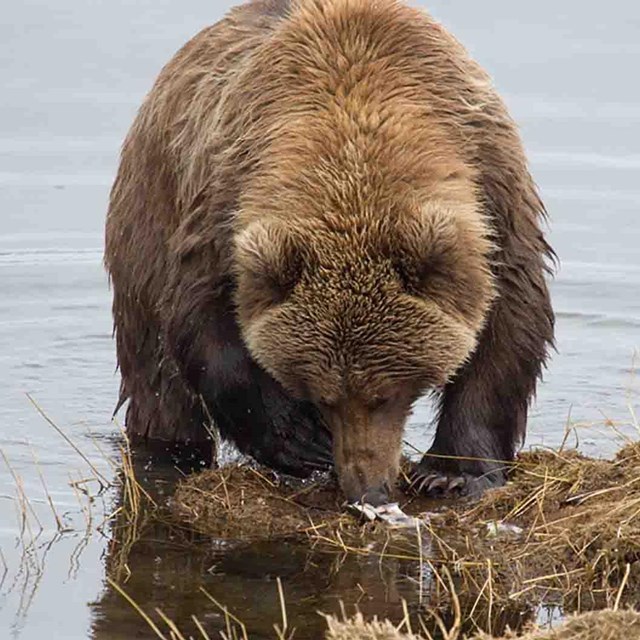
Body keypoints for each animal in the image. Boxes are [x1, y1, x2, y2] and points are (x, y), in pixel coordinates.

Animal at [105, 0, 556, 504]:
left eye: (387, 393)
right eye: (324, 395)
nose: (368, 487)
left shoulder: (493, 189)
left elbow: (510, 322)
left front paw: (453, 472)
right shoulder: (222, 204)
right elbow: (199, 317)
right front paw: (299, 439)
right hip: (144, 226)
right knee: (160, 384)